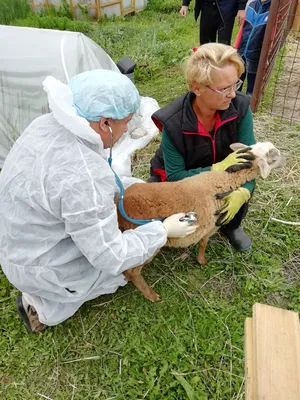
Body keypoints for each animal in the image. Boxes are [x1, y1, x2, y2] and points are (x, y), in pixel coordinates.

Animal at [118, 142, 286, 302]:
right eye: (275, 156)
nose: (285, 160)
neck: (220, 180)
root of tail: (120, 207)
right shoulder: (211, 225)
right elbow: (204, 243)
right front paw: (202, 260)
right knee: (132, 271)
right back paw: (151, 294)